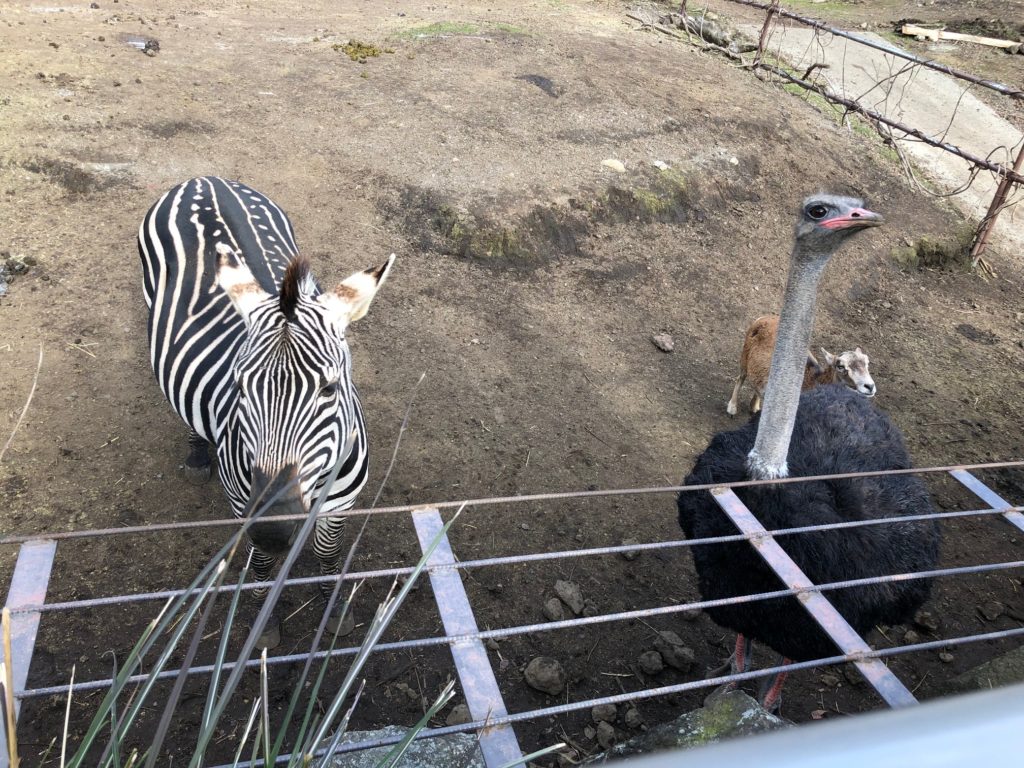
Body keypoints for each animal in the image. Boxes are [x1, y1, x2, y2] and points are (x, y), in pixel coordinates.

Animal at [136, 176, 391, 651]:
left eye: (330, 389)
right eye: (239, 388)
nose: (274, 529)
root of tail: (203, 178)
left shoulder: (341, 504)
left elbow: (328, 554)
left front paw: (332, 610)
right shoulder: (244, 506)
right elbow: (259, 565)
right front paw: (262, 621)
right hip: (150, 297)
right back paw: (197, 453)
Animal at [724, 313, 876, 417]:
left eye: (867, 362)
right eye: (840, 366)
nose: (869, 386)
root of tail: (764, 318)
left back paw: (754, 407)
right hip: (744, 358)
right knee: (740, 378)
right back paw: (732, 409)